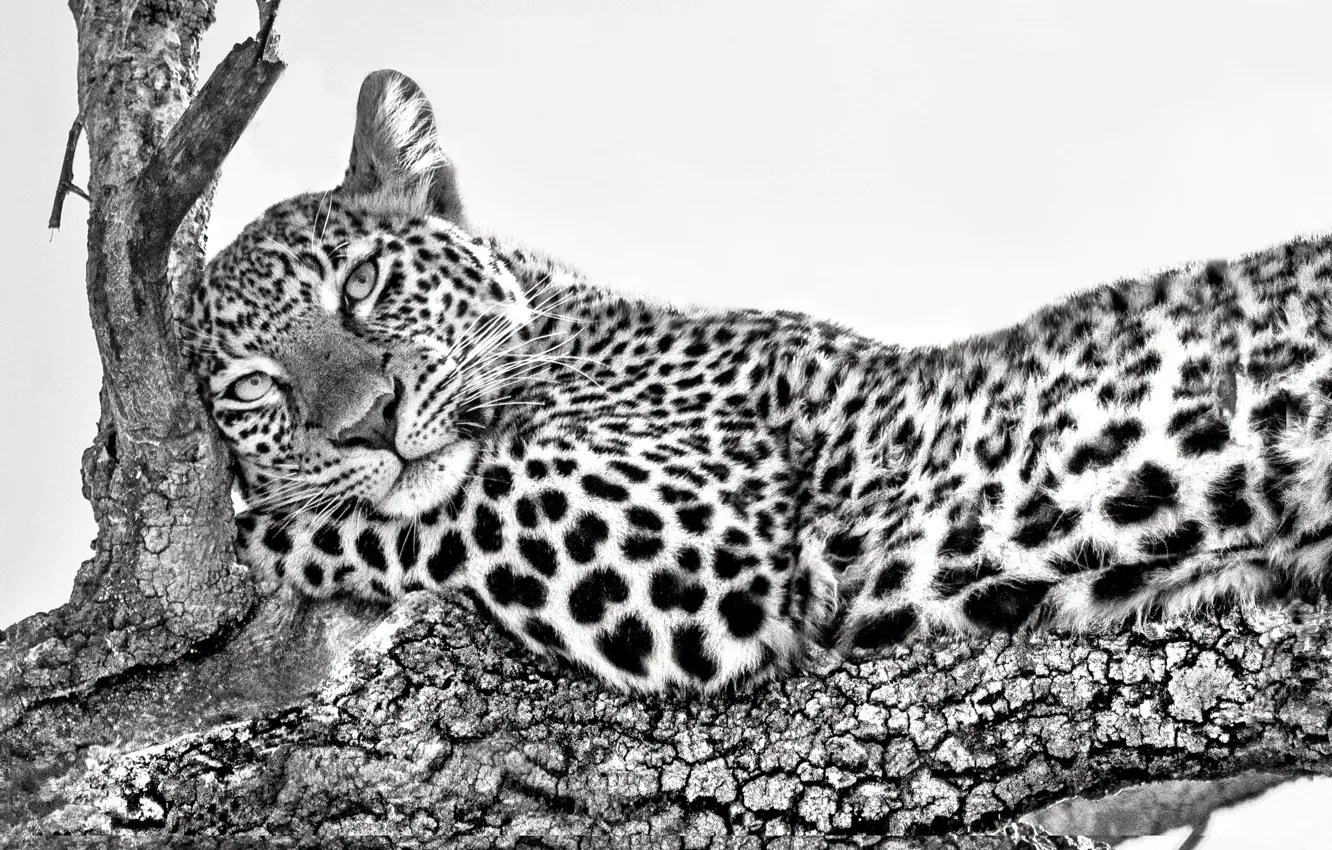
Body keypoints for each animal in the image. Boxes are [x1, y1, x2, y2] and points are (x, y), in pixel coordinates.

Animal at [180, 69, 1332, 694]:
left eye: (362, 284)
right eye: (254, 390)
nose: (367, 424)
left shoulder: (698, 534)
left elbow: (447, 501)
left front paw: (260, 529)